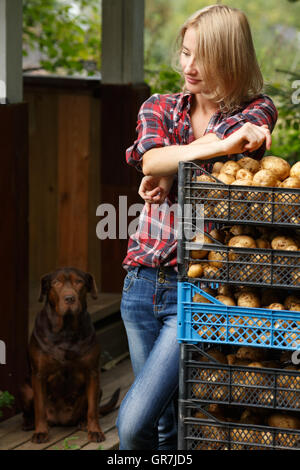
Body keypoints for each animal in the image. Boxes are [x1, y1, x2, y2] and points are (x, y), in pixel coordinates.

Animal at [21, 268, 120, 444]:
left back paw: (83, 422)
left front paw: (95, 430)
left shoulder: (92, 373)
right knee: (30, 410)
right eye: (56, 283)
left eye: (79, 282)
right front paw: (40, 432)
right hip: (25, 389)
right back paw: (28, 423)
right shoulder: (38, 375)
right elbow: (39, 407)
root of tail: (60, 420)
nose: (69, 298)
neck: (65, 330)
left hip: (99, 389)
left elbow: (92, 409)